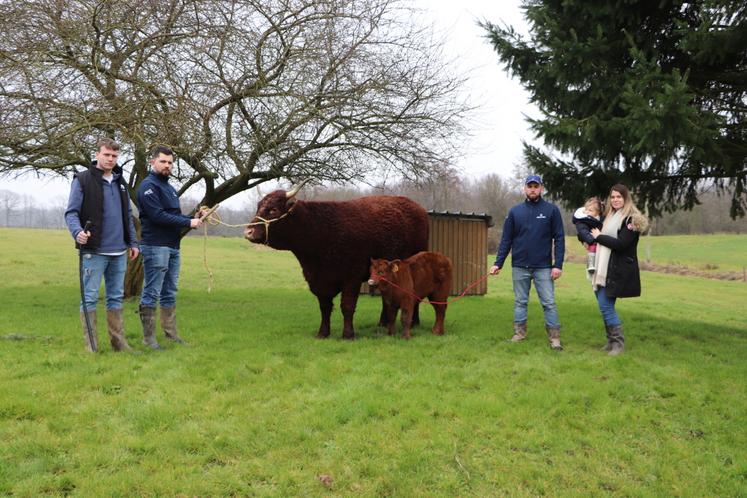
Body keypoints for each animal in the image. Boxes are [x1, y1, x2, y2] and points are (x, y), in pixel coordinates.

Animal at [245, 181, 426, 340]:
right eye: (258, 207)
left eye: (273, 209)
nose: (248, 232)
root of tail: (417, 207)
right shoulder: (318, 279)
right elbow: (324, 307)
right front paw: (323, 333)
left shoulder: (352, 277)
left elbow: (347, 306)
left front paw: (348, 334)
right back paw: (383, 322)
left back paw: (414, 322)